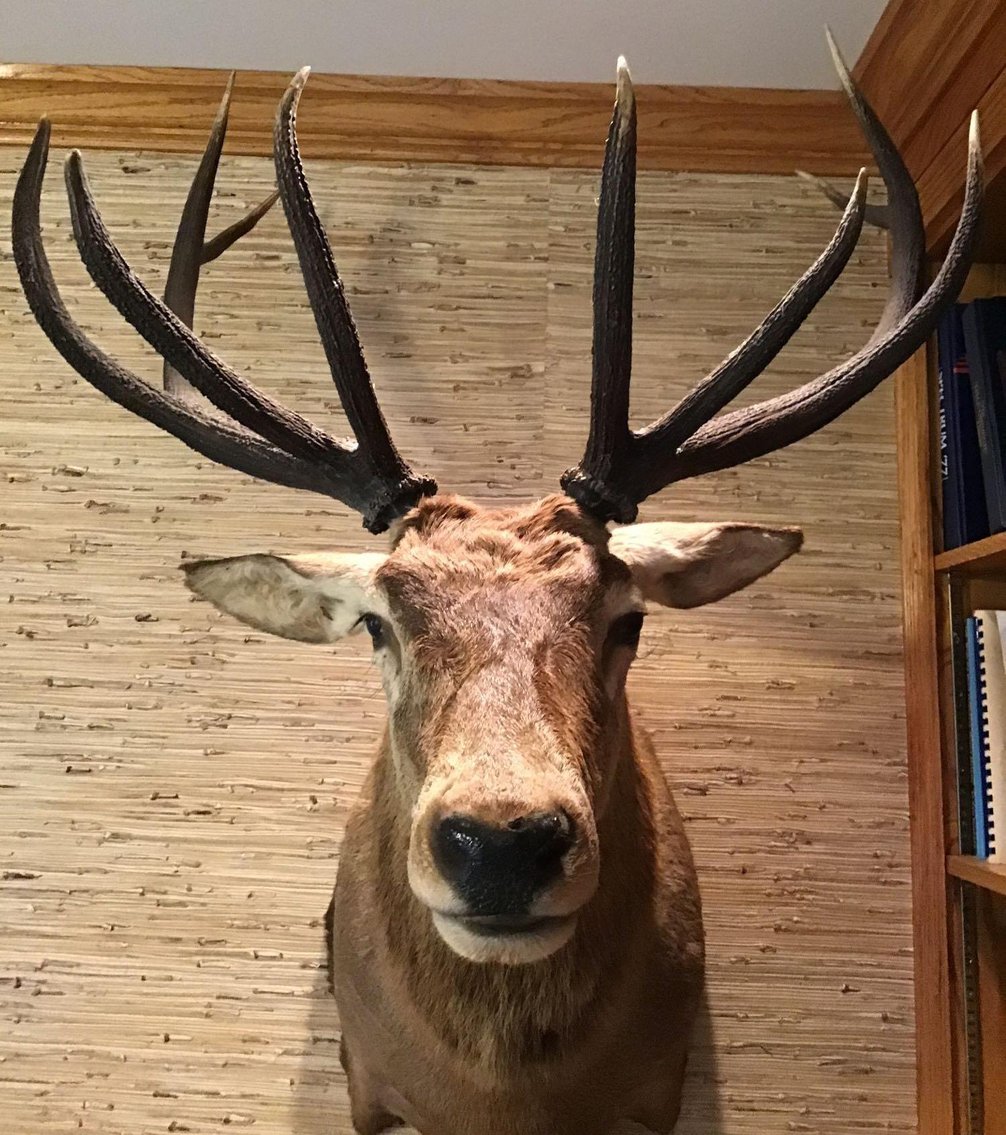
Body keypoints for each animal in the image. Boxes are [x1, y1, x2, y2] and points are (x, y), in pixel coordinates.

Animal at [11, 32, 981, 1135]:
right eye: (380, 624)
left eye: (624, 621)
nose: (503, 842)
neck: (500, 1095)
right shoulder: (364, 1077)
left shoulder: (660, 1086)